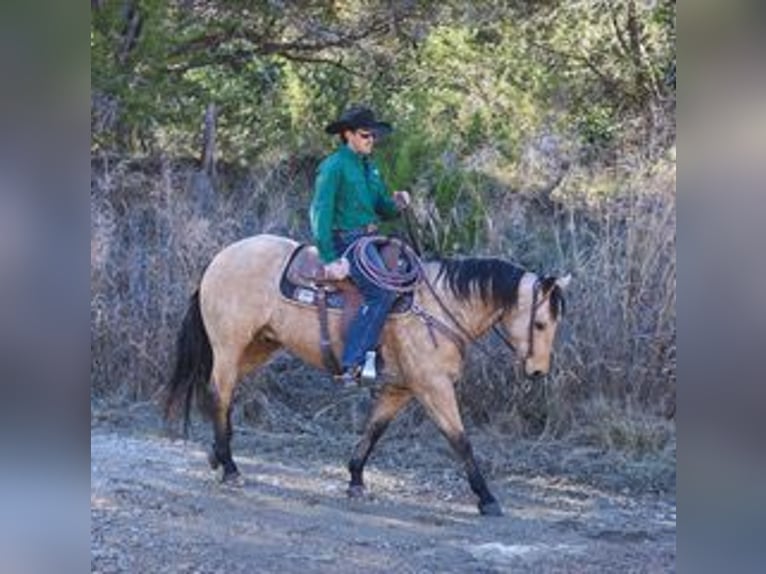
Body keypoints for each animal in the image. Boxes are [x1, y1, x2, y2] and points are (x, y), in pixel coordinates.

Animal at [164, 233, 570, 516]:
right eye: (540, 323)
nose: (538, 371)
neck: (438, 307)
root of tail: (220, 258)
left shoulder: (400, 389)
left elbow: (374, 430)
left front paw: (356, 478)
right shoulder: (433, 387)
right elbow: (460, 440)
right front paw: (487, 498)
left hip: (255, 347)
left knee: (223, 392)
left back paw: (218, 455)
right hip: (230, 345)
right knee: (219, 392)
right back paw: (230, 467)